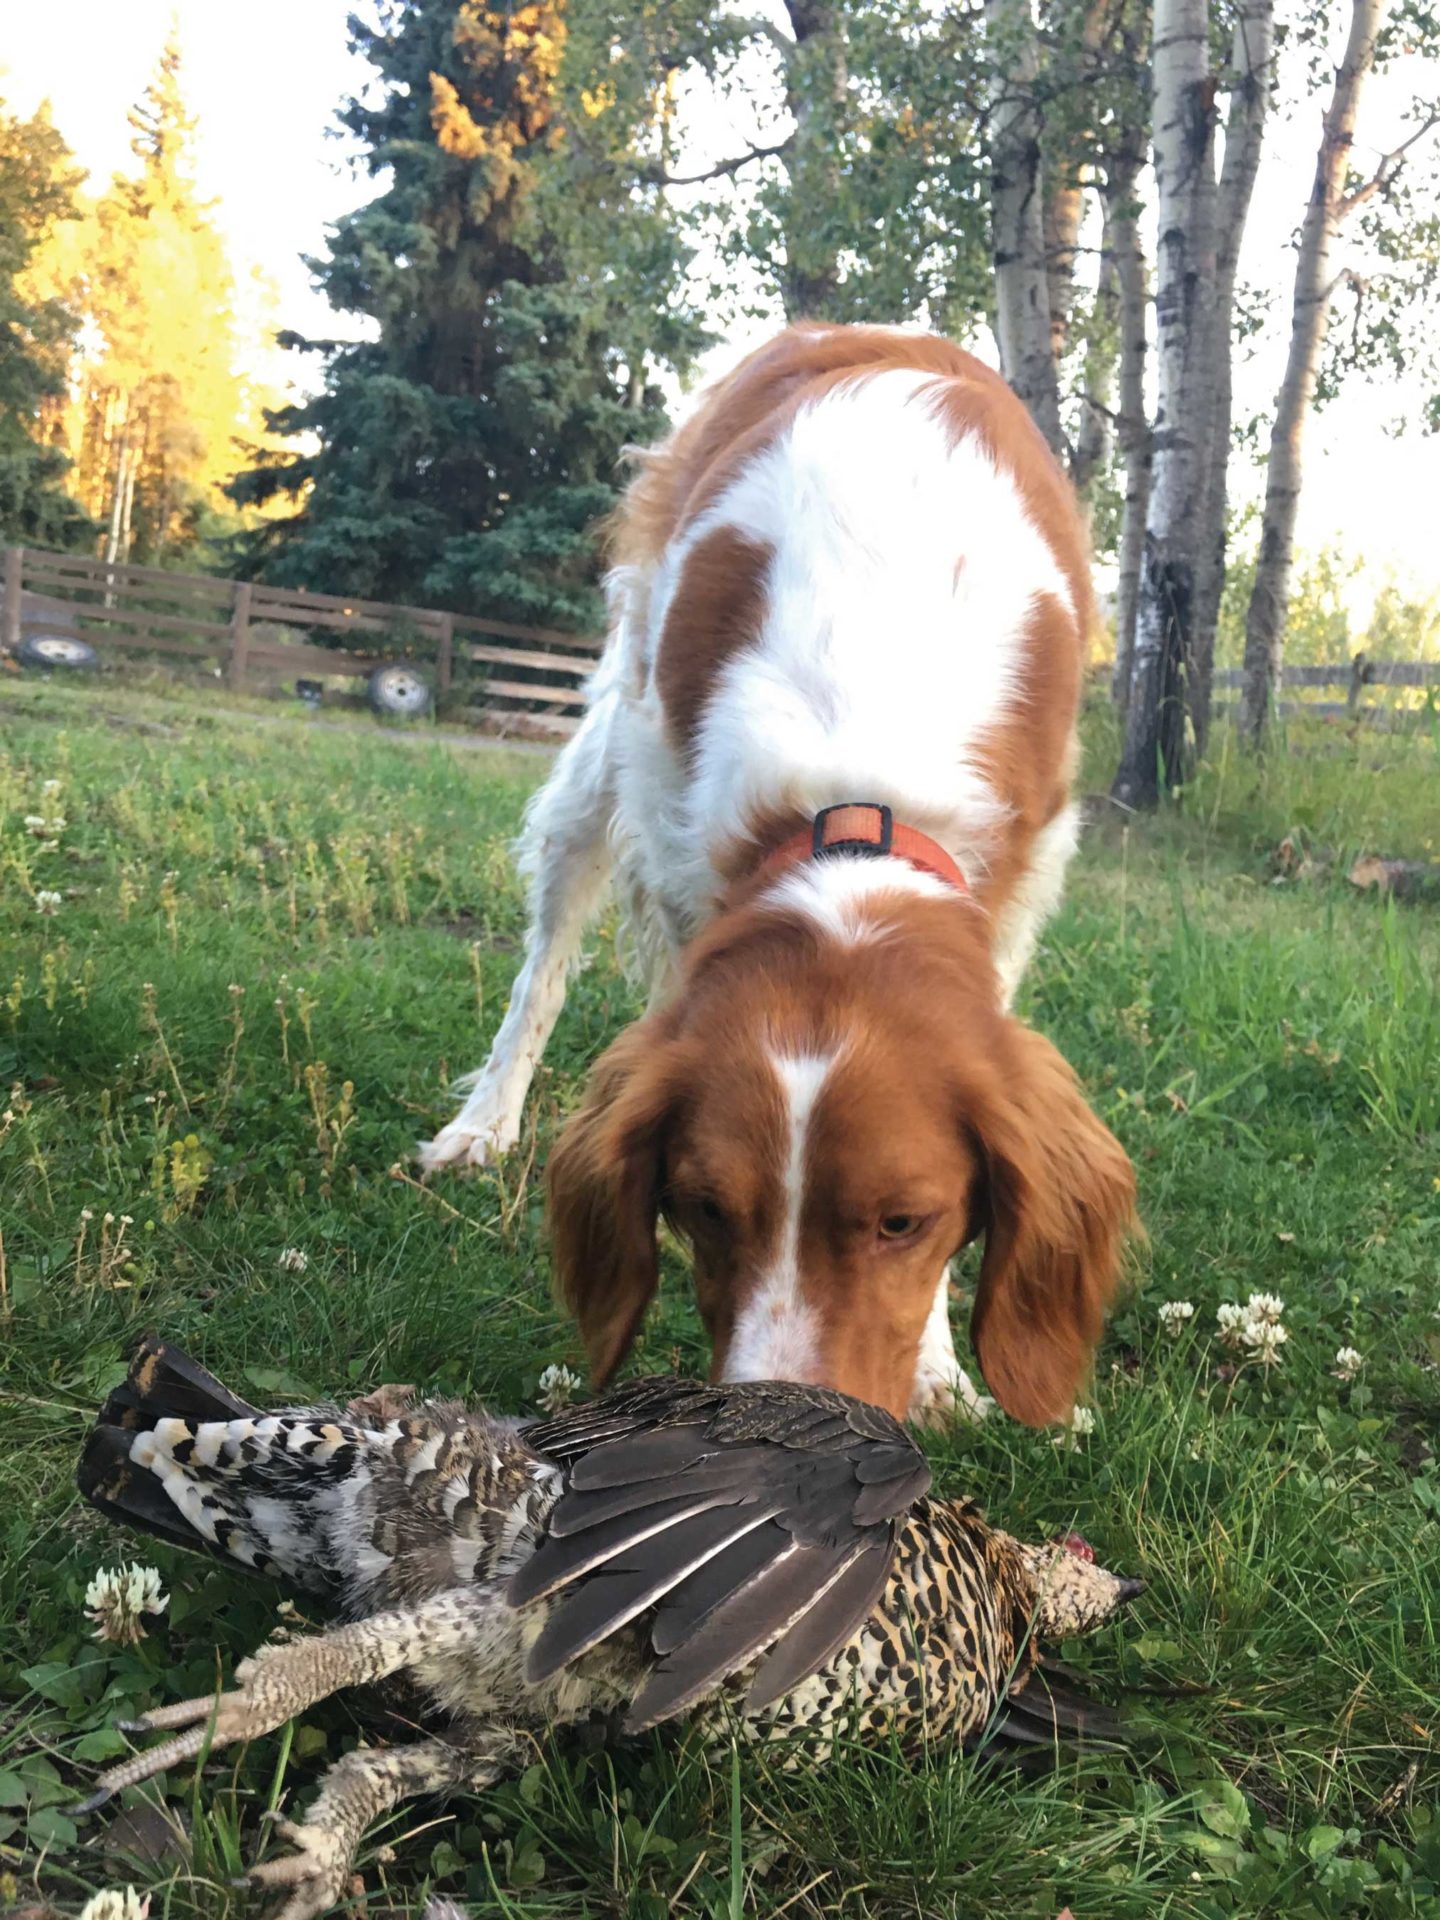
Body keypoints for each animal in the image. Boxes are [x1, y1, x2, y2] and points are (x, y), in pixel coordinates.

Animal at [420, 322, 1136, 1428]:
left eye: (904, 1221)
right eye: (703, 1206)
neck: (859, 798)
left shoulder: (1025, 880)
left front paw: (939, 1366)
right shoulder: (677, 827)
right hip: (608, 747)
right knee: (544, 956)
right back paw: (483, 1123)